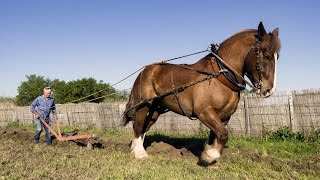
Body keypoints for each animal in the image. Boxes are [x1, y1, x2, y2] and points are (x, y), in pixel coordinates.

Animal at [121, 21, 282, 166]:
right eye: (266, 55)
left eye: (277, 56)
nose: (269, 90)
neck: (220, 76)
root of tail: (145, 70)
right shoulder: (204, 112)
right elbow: (223, 134)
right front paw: (209, 157)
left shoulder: (224, 116)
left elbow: (215, 136)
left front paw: (209, 154)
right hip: (144, 105)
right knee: (138, 126)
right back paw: (140, 154)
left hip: (156, 108)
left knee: (144, 127)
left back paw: (135, 149)